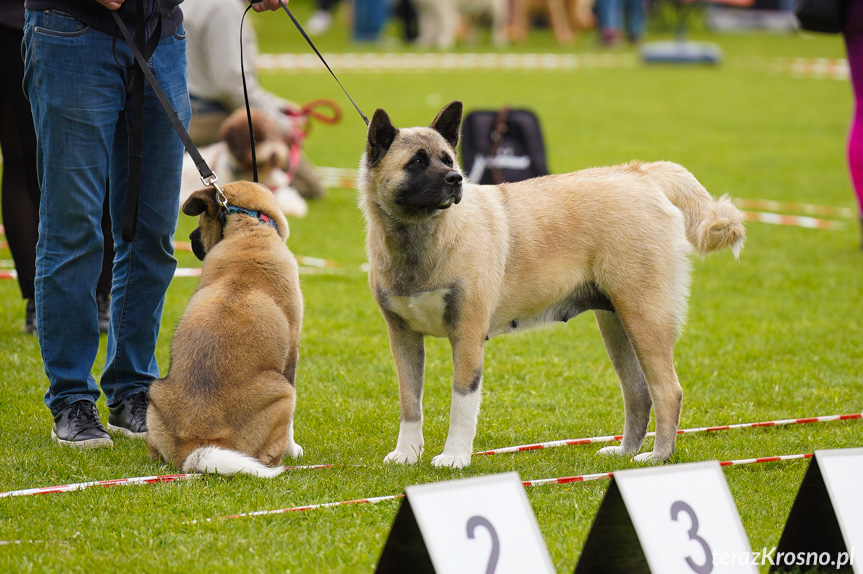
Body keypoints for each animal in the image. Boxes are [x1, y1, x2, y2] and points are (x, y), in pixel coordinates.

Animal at [143, 182, 302, 480]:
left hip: (156, 393)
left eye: (200, 221)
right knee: (268, 451)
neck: (248, 229)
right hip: (283, 392)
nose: (190, 238)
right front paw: (294, 448)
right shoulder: (292, 353)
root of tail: (197, 448)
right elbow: (290, 429)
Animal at [362, 101, 744, 470]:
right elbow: (410, 402)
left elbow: (461, 402)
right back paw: (624, 452)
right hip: (617, 323)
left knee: (667, 391)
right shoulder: (403, 338)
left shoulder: (467, 335)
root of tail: (642, 173)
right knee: (638, 392)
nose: (456, 179)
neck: (423, 236)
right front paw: (407, 453)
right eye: (416, 162)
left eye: (448, 159)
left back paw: (657, 456)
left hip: (645, 316)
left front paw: (454, 457)